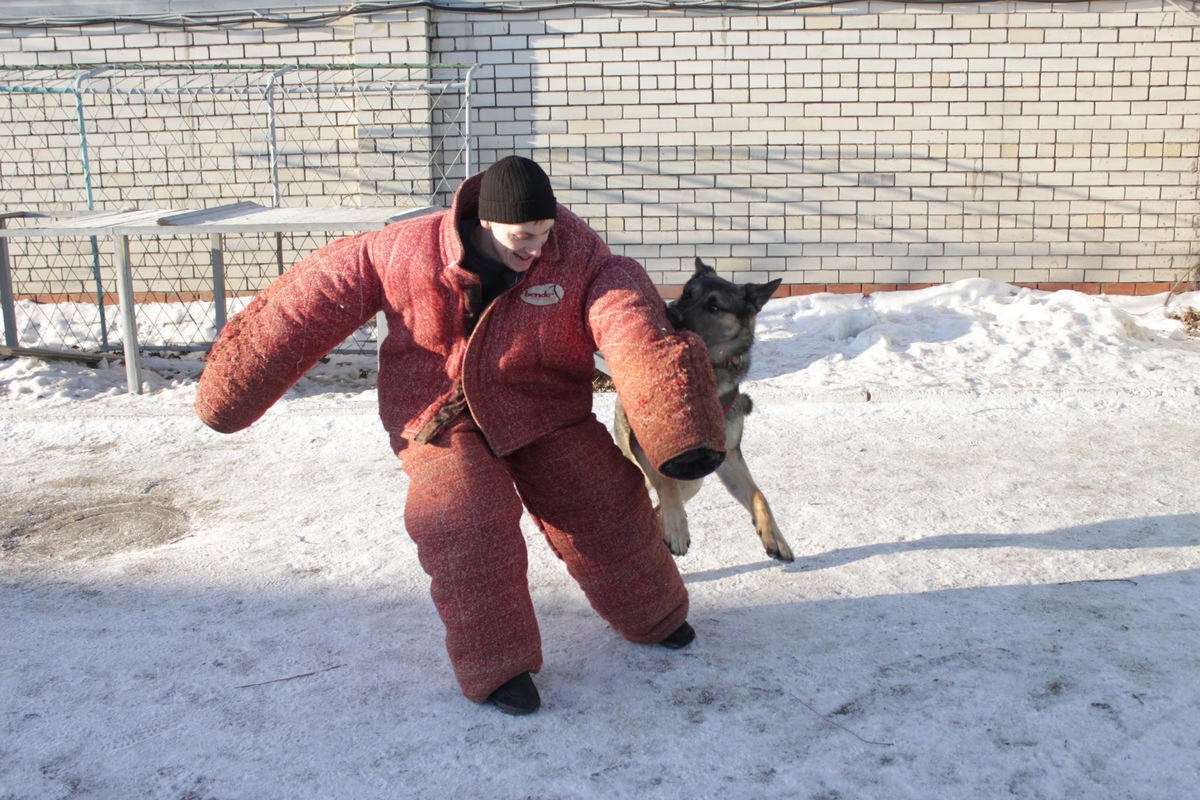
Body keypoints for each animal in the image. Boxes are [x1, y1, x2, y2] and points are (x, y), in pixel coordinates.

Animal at [614, 257, 792, 563]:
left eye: (714, 307)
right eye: (687, 293)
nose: (671, 313)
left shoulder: (728, 457)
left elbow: (759, 495)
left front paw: (775, 537)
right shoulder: (650, 447)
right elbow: (667, 485)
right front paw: (676, 529)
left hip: (694, 480)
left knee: (660, 504)